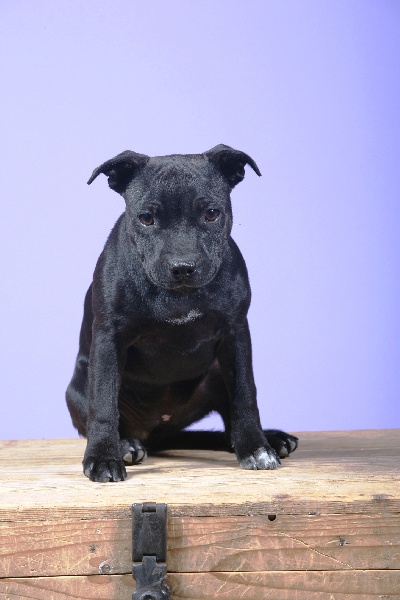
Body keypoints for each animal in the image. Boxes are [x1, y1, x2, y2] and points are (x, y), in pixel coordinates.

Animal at [66, 144, 298, 482]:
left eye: (211, 213)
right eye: (146, 218)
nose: (183, 267)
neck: (179, 298)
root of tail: (157, 432)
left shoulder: (236, 334)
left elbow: (245, 396)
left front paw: (256, 448)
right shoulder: (109, 339)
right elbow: (104, 404)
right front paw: (102, 459)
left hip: (216, 371)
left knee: (228, 425)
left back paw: (271, 438)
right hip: (78, 386)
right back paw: (125, 444)